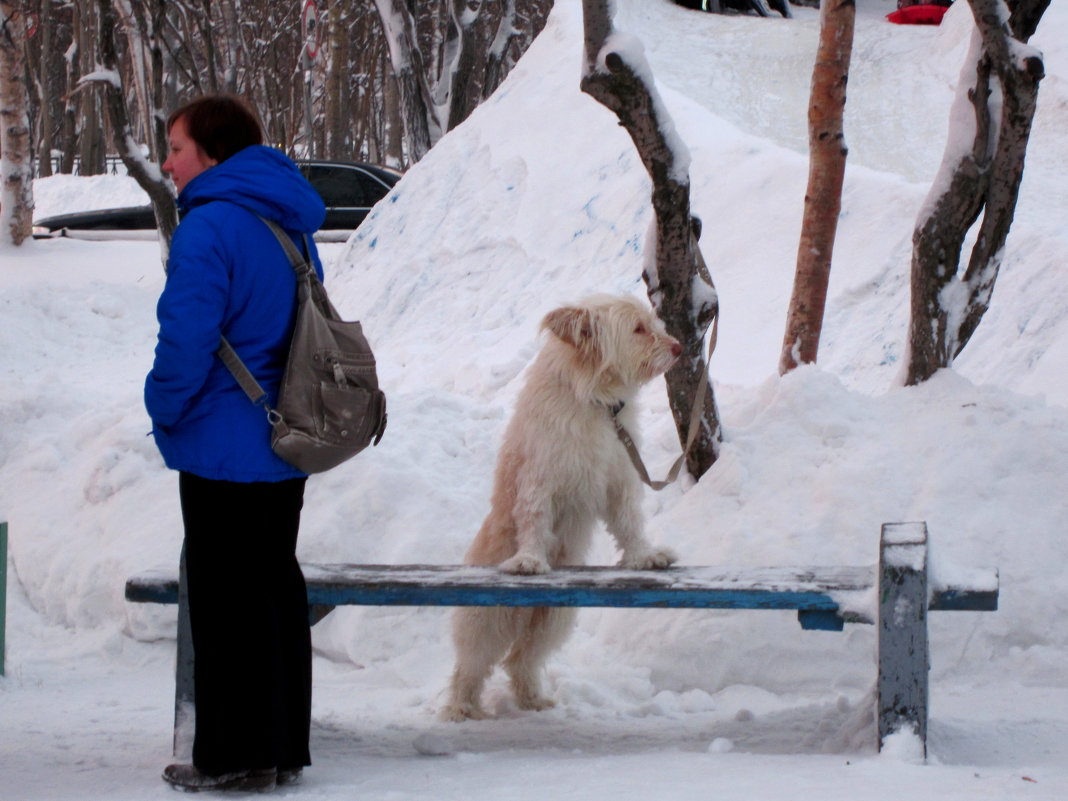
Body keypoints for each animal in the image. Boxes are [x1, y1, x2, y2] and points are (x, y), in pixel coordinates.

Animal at [440, 294, 674, 721]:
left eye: (653, 323)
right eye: (638, 329)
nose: (679, 347)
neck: (595, 400)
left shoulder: (619, 478)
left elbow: (630, 522)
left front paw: (644, 556)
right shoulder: (539, 481)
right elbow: (535, 522)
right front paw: (530, 560)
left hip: (554, 618)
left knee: (521, 660)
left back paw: (533, 699)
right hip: (485, 619)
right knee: (471, 666)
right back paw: (461, 707)